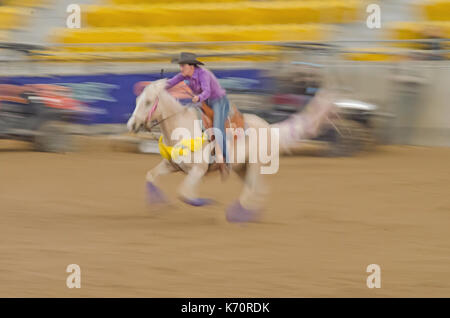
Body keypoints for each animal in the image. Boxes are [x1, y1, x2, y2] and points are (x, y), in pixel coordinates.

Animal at [126, 79, 334, 222]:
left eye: (148, 102)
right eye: (136, 100)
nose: (131, 125)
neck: (182, 128)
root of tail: (269, 127)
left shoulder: (198, 170)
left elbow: (185, 194)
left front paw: (209, 204)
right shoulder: (171, 165)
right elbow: (151, 176)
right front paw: (161, 207)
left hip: (255, 165)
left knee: (251, 190)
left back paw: (238, 215)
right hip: (242, 168)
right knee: (258, 189)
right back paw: (251, 215)